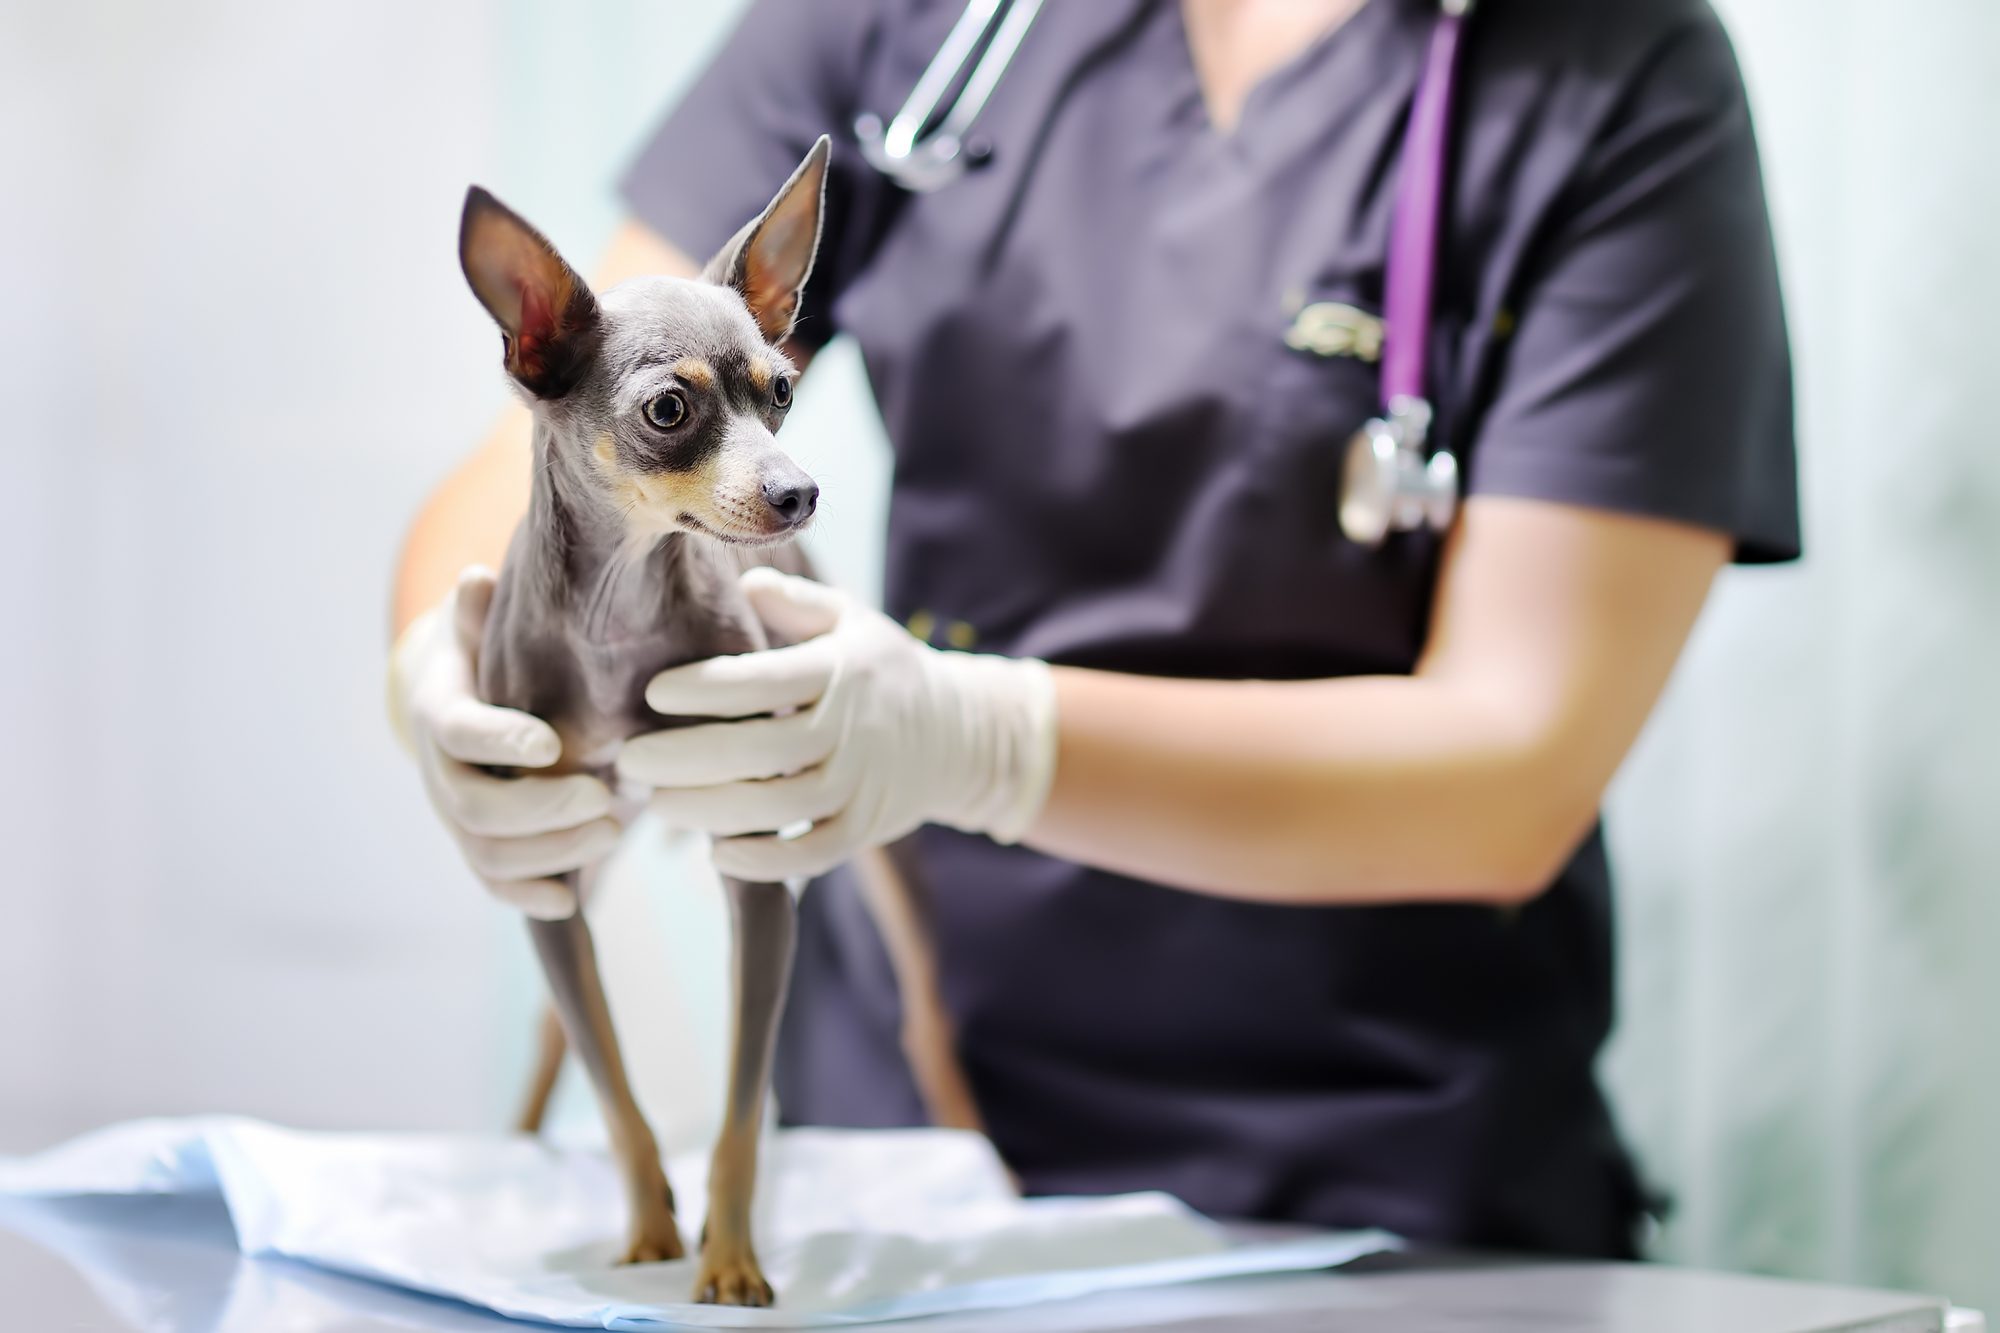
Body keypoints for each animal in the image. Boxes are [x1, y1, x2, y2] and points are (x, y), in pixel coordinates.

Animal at [456, 140, 984, 1304]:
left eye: (781, 389)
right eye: (669, 410)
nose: (799, 492)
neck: (618, 612)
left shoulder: (756, 875)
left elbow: (744, 1113)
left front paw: (730, 1257)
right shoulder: (547, 871)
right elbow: (613, 1086)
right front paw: (652, 1227)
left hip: (877, 878)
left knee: (929, 1019)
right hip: (578, 853)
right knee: (558, 1031)